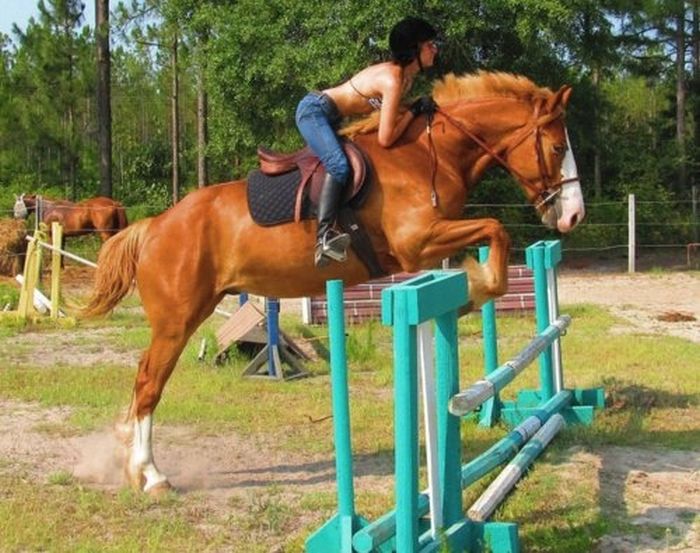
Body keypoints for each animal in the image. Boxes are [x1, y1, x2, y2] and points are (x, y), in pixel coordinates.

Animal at [80, 72, 584, 492]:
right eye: (558, 149)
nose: (574, 217)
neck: (428, 154)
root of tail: (153, 226)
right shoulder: (416, 243)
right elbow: (496, 231)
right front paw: (476, 288)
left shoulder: (430, 240)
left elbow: (488, 238)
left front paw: (469, 290)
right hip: (176, 321)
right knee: (148, 385)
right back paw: (151, 475)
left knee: (145, 384)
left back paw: (137, 466)